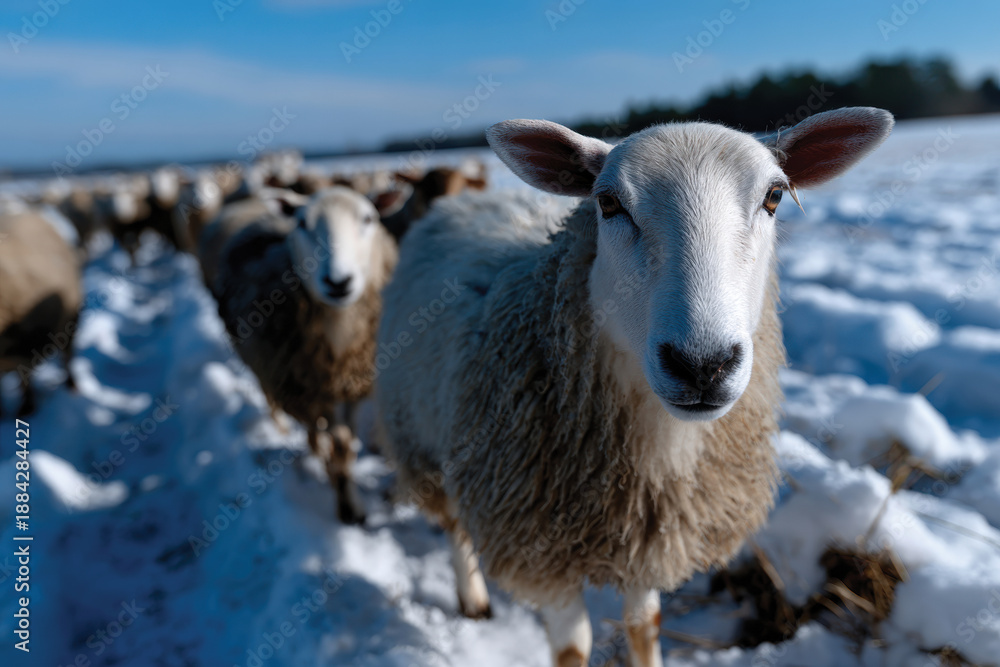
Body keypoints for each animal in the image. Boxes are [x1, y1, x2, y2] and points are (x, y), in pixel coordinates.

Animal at [0, 210, 82, 417]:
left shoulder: (26, 347)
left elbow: (25, 376)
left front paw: (27, 409)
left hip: (70, 321)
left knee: (68, 355)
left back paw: (72, 386)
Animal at [214, 186, 402, 524]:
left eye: (368, 218)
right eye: (303, 223)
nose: (338, 282)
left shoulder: (354, 387)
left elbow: (346, 442)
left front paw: (351, 499)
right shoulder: (308, 389)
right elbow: (336, 443)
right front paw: (347, 505)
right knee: (287, 411)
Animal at [374, 107, 894, 666]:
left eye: (774, 196)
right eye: (607, 203)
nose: (703, 366)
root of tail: (465, 200)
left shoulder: (652, 539)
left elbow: (645, 626)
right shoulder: (540, 551)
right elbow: (573, 649)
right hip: (421, 438)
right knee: (453, 525)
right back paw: (472, 598)